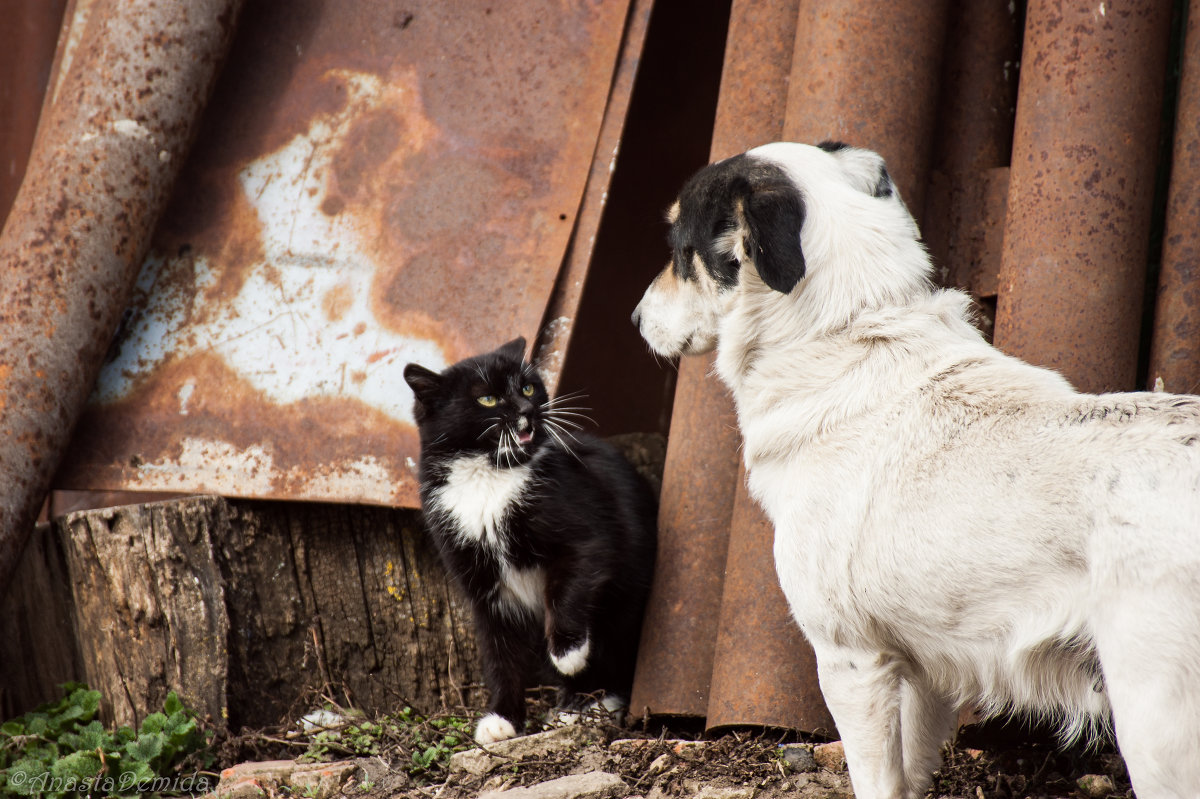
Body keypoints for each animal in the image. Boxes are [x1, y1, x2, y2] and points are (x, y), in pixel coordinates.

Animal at [403, 333, 657, 739]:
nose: (527, 408)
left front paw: (568, 655)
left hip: (628, 597)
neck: (488, 475)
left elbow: (567, 589)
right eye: (487, 399)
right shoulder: (479, 583)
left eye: (527, 387)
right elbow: (498, 651)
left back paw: (585, 702)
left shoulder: (586, 533)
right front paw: (502, 717)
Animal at [633, 143, 1200, 796]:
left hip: (1154, 716)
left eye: (680, 248)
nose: (634, 319)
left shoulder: (851, 660)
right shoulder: (924, 671)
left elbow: (875, 780)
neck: (849, 329)